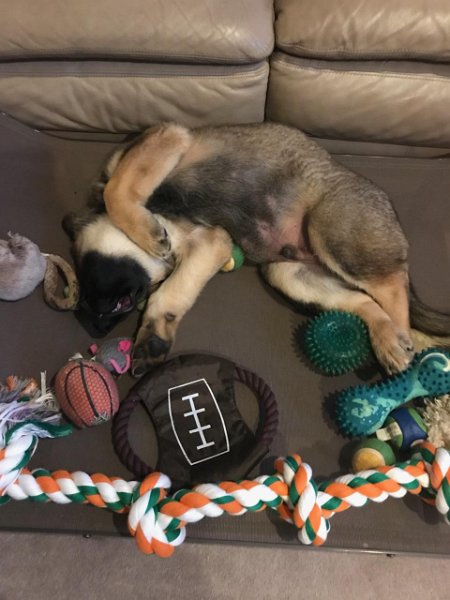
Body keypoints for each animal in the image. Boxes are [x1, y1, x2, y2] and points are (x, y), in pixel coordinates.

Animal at [63, 122, 450, 376]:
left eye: (115, 303)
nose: (94, 328)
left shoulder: (165, 138)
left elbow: (116, 190)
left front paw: (145, 233)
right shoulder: (212, 242)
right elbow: (172, 293)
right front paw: (154, 336)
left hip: (330, 228)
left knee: (392, 288)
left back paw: (399, 348)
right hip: (288, 273)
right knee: (366, 300)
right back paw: (388, 337)